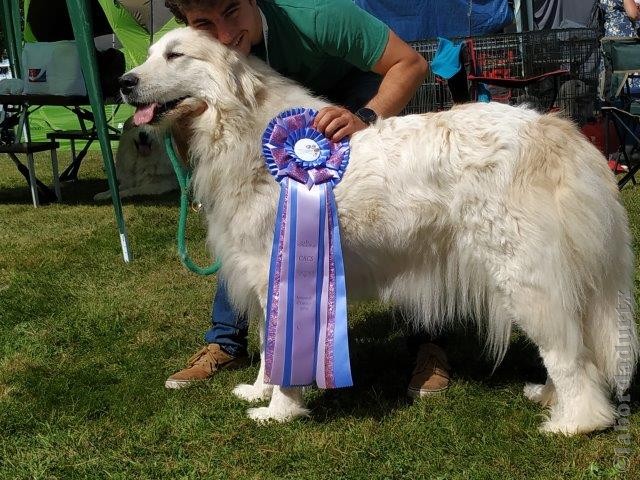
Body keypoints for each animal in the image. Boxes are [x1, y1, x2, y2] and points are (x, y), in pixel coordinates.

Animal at [119, 29, 636, 436]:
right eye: (150, 53)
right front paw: (259, 389)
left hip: (525, 276)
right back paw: (549, 398)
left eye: (175, 55)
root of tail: (559, 132)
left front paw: (278, 410)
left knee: (567, 354)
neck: (245, 131)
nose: (125, 83)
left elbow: (281, 350)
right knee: (575, 345)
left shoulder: (280, 275)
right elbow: (270, 345)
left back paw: (574, 422)